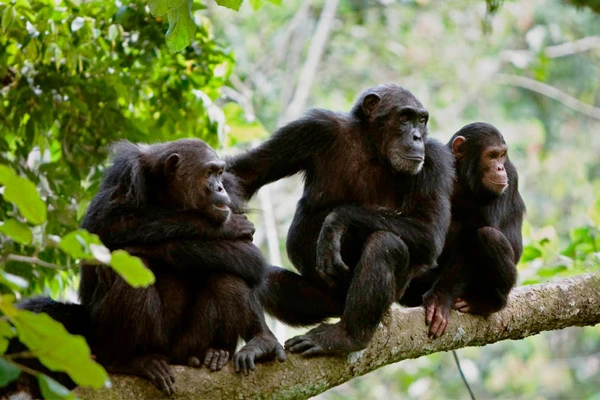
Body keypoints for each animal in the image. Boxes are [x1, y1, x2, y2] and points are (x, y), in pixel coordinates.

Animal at [226, 84, 454, 356]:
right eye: (405, 117)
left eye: (421, 120)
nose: (417, 137)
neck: (372, 147)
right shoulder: (312, 128)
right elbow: (245, 174)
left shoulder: (435, 160)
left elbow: (428, 230)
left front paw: (335, 222)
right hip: (321, 300)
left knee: (386, 245)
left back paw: (347, 337)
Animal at [420, 122, 524, 338]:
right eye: (491, 156)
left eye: (502, 155)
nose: (500, 167)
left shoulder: (510, 176)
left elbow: (472, 240)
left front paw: (440, 298)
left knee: (488, 236)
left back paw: (489, 302)